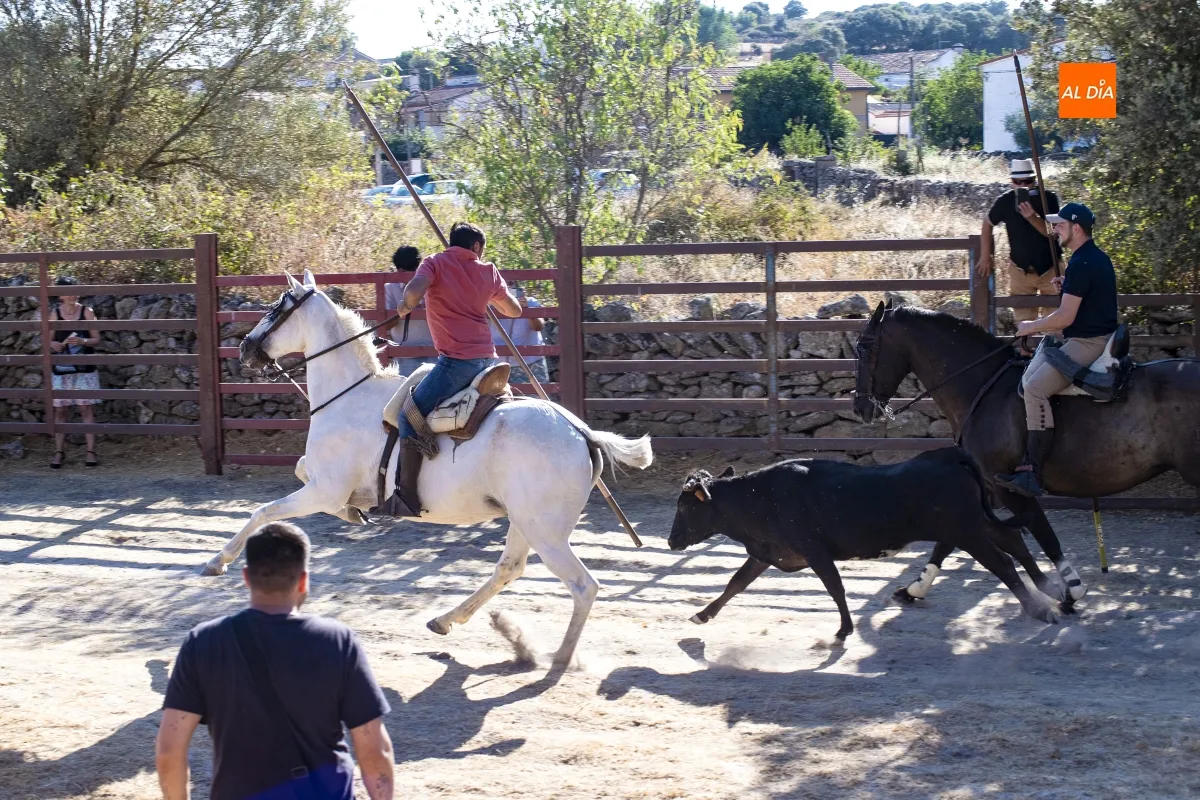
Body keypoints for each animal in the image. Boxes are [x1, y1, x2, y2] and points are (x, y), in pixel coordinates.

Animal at [201, 270, 654, 666]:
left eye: (277, 307)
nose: (244, 348)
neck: (349, 395)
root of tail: (582, 433)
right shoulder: (322, 484)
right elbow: (298, 474)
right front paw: (356, 512)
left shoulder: (324, 488)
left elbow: (265, 511)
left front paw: (218, 561)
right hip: (525, 522)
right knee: (509, 568)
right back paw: (448, 620)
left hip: (546, 531)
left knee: (583, 586)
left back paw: (560, 657)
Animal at [853, 300, 1200, 608]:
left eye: (865, 348)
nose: (860, 408)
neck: (983, 386)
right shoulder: (984, 486)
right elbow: (948, 541)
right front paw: (915, 589)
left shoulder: (1009, 486)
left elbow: (1042, 531)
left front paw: (1070, 588)